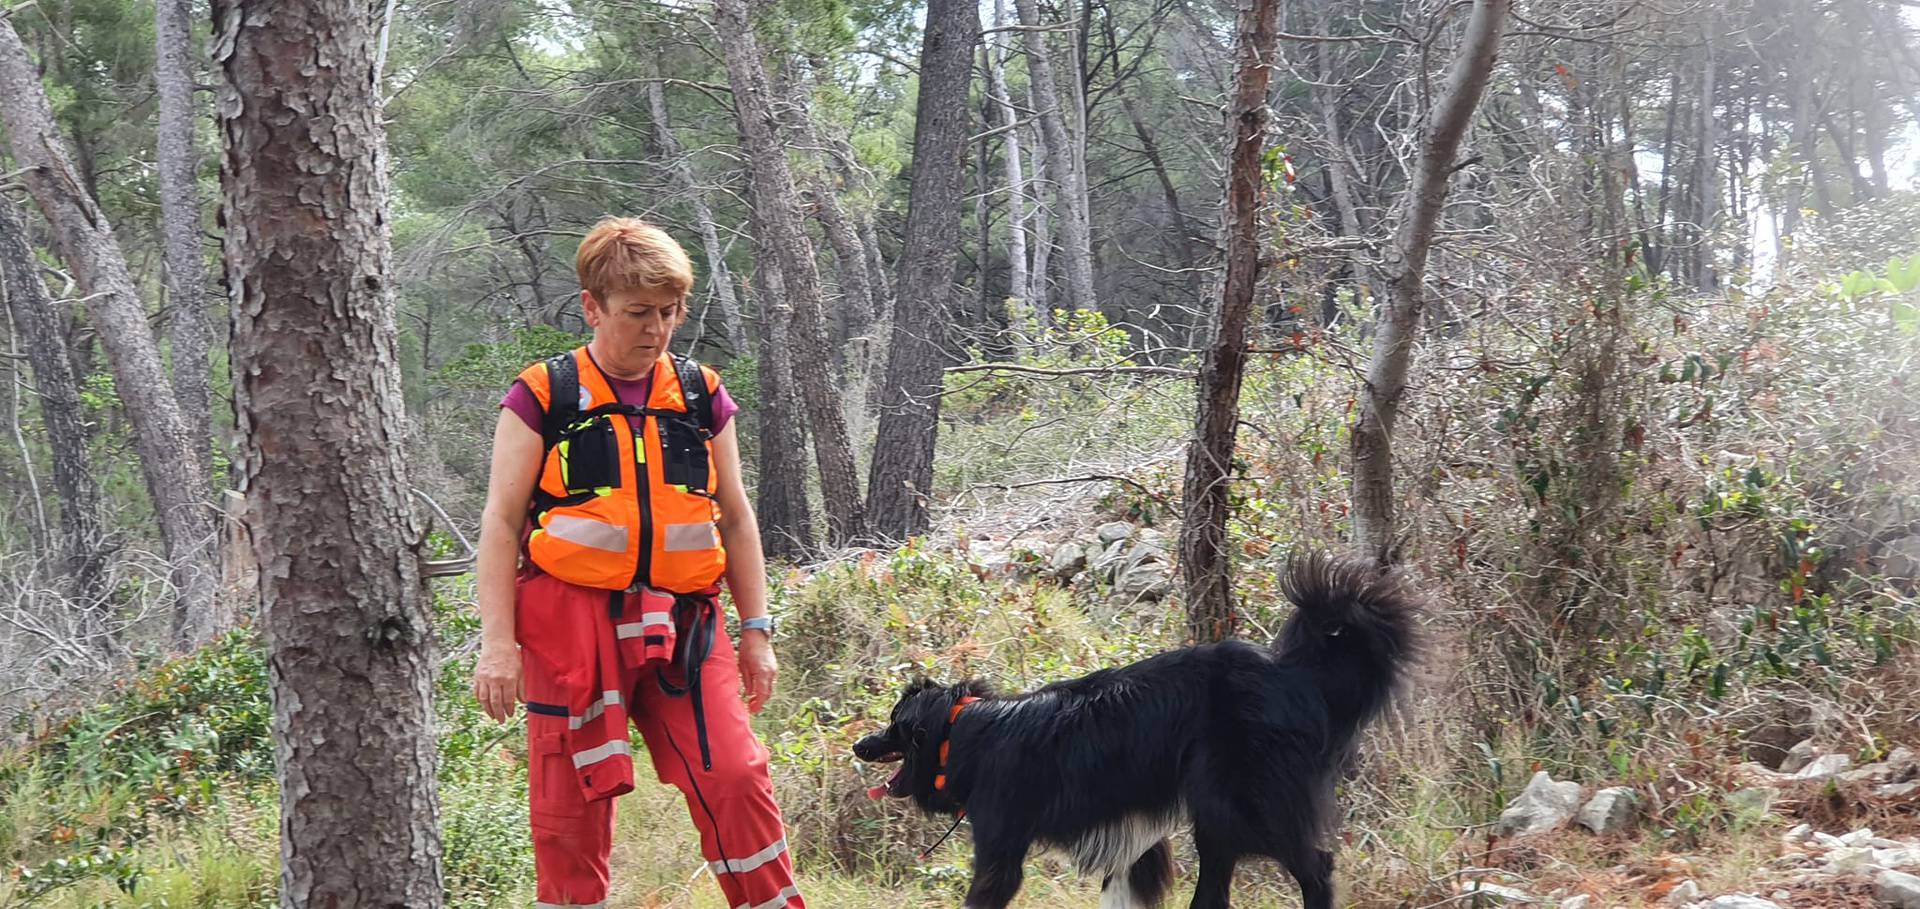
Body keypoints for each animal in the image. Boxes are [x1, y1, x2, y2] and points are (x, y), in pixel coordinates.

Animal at [864, 553, 1420, 907]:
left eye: (892, 726)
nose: (858, 745)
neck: (963, 730)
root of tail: (1296, 675)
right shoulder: (1135, 847)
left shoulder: (1000, 849)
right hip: (1216, 812)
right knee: (1216, 889)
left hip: (1241, 802)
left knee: (1316, 868)